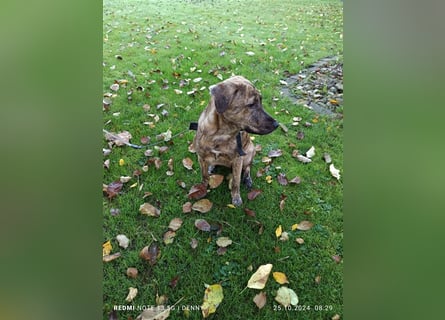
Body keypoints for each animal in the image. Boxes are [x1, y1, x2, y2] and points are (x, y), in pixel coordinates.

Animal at [192, 75, 276, 205]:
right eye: (251, 104)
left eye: (261, 101)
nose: (277, 124)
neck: (221, 135)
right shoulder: (201, 157)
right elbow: (204, 176)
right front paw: (202, 188)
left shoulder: (238, 160)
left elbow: (236, 182)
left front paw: (236, 198)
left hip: (249, 152)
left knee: (247, 168)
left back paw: (247, 179)